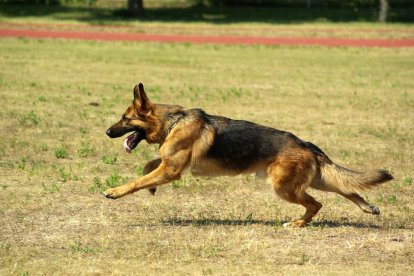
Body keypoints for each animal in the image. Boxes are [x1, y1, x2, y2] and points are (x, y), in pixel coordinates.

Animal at [105, 83, 392, 227]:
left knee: (317, 204)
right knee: (346, 188)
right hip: (314, 180)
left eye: (125, 119)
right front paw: (150, 187)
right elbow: (148, 167)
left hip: (285, 187)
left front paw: (115, 192)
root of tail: (306, 144)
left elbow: (138, 180)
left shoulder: (171, 170)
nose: (107, 132)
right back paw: (368, 207)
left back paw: (298, 223)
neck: (172, 121)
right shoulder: (169, 165)